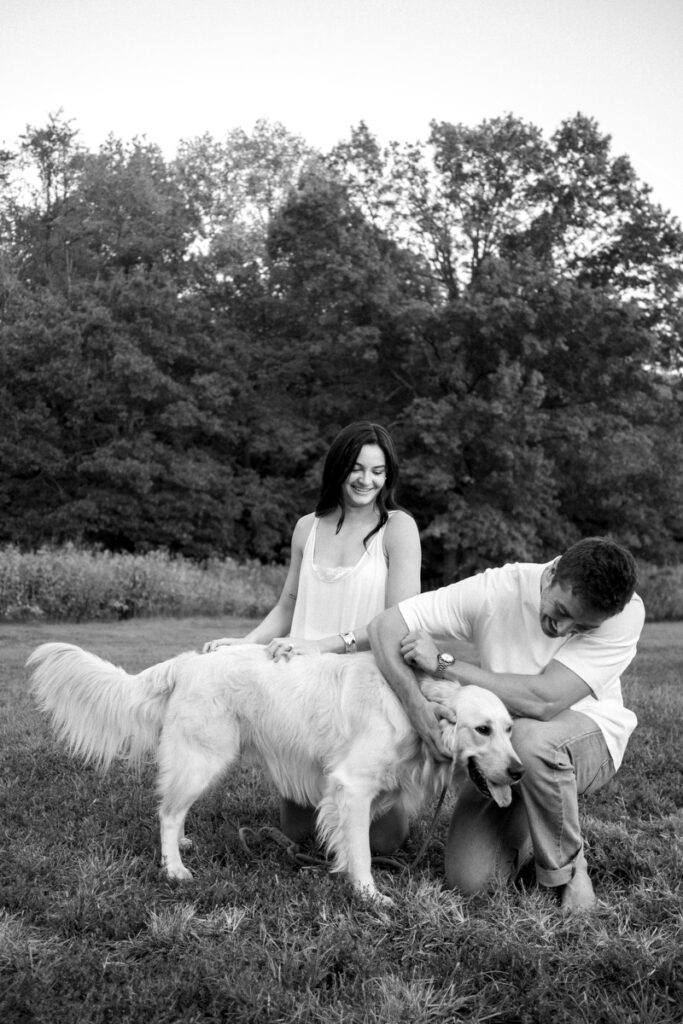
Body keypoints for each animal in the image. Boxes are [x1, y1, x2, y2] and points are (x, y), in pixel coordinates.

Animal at [28, 643, 523, 900]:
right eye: (482, 730)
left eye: (509, 729)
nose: (518, 772)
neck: (413, 704)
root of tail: (188, 660)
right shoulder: (351, 786)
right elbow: (362, 851)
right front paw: (369, 895)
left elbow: (351, 843)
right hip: (204, 757)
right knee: (166, 813)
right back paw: (174, 869)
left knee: (174, 809)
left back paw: (183, 846)